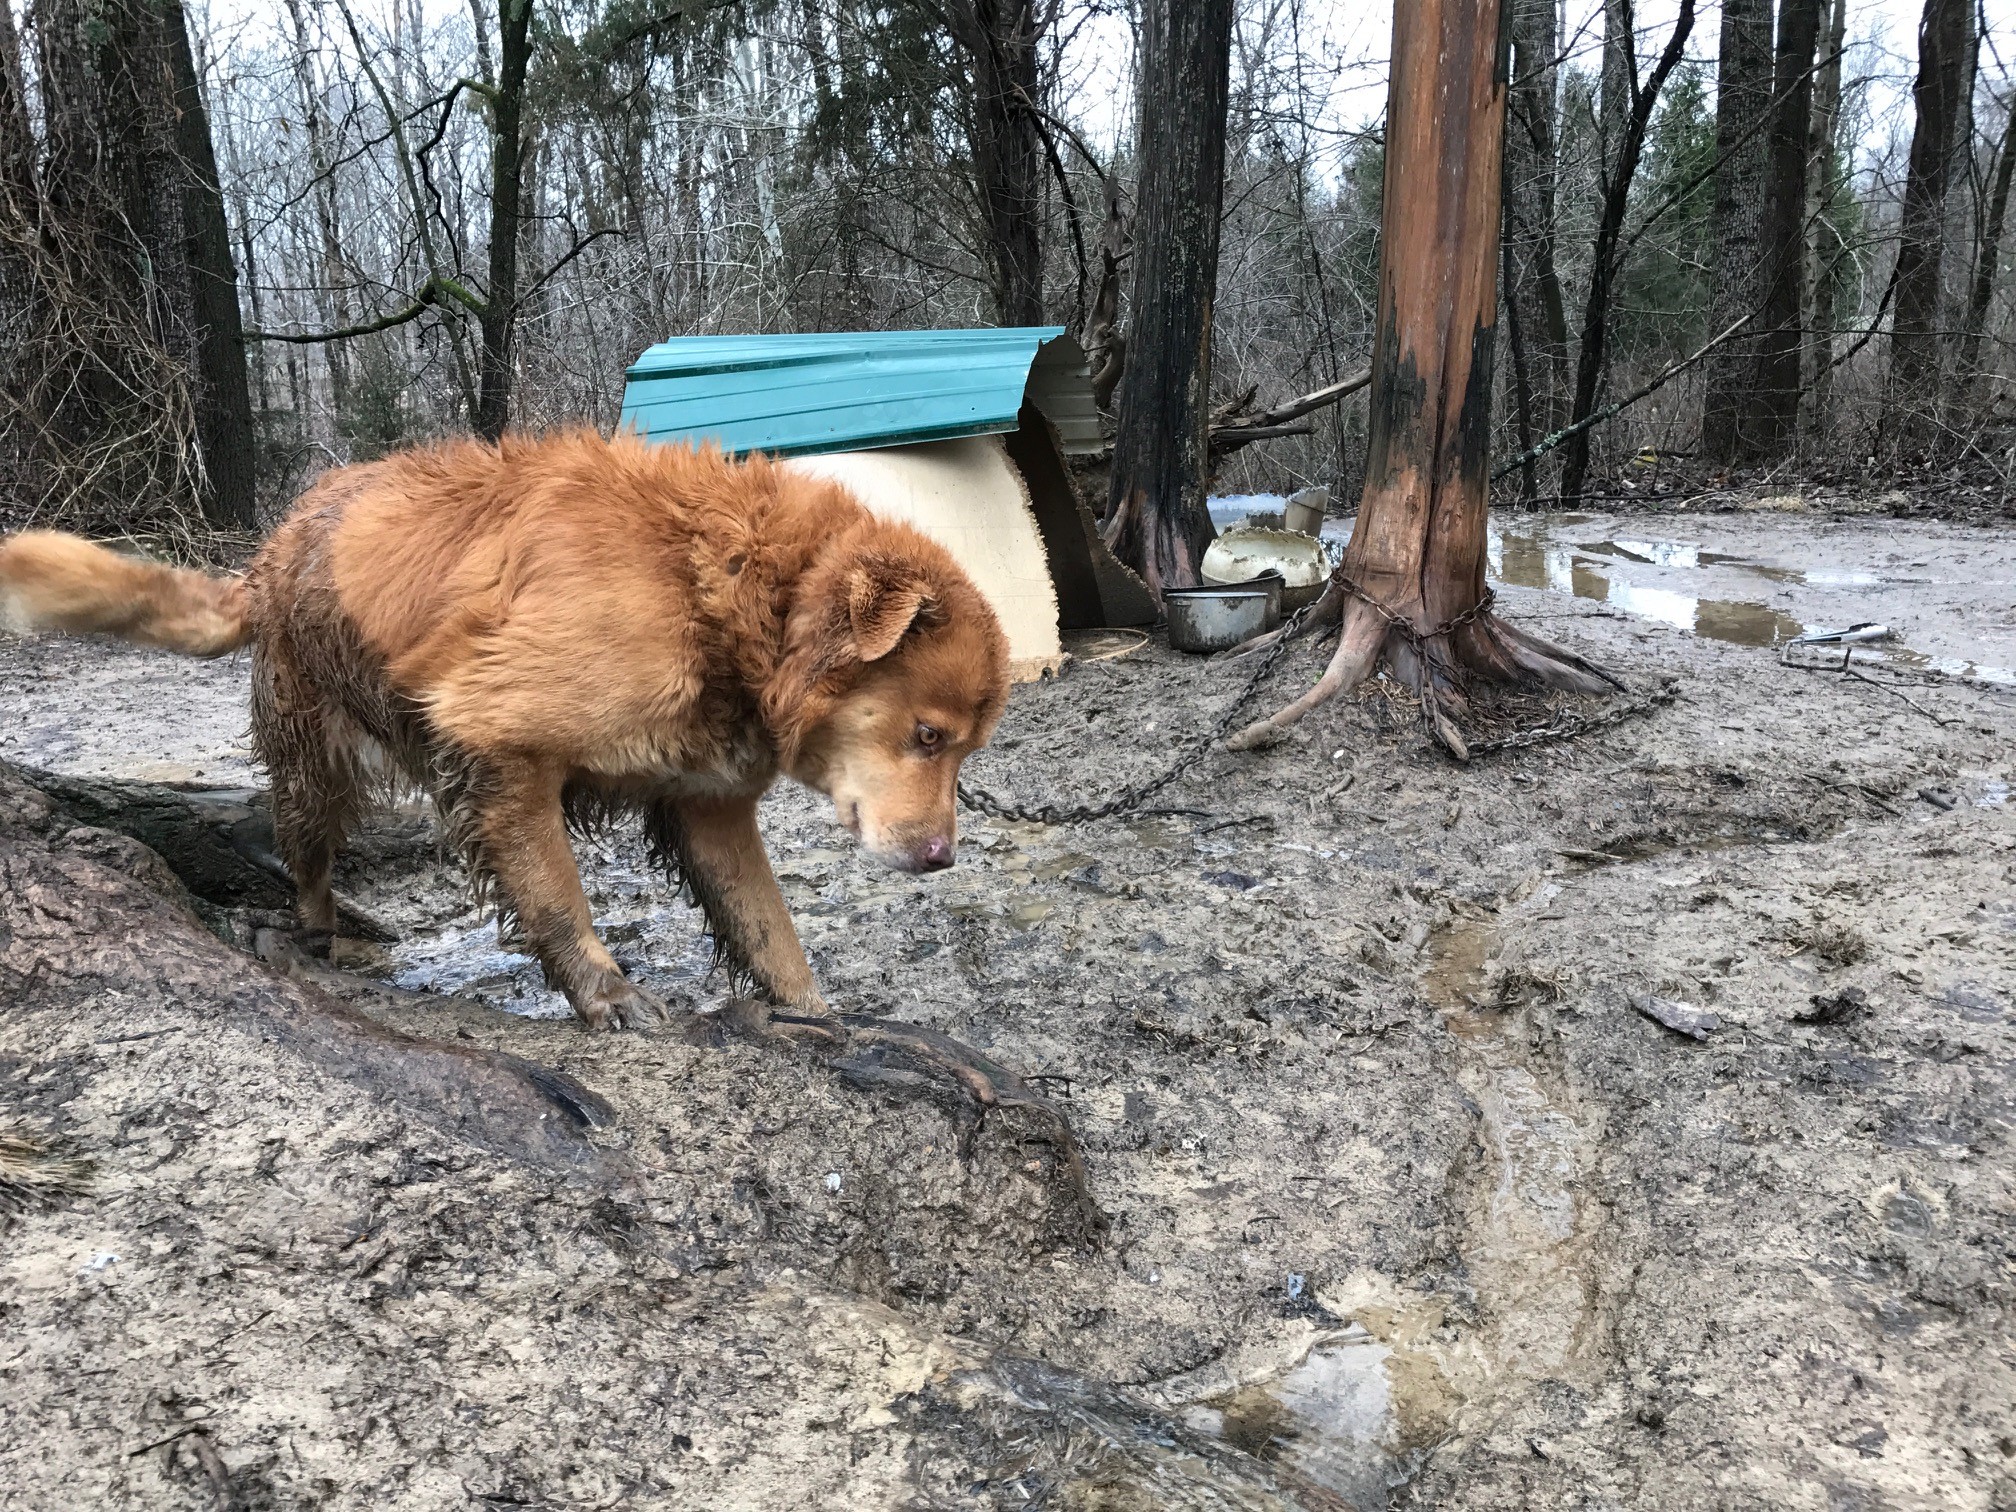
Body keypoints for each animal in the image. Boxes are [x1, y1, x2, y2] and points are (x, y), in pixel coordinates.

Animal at [0, 435, 1008, 1032]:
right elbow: (557, 898)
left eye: (965, 749)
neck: (718, 594)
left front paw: (812, 1010)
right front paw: (607, 993)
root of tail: (272, 551)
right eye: (928, 736)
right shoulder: (499, 750)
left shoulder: (709, 804)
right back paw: (326, 938)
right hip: (314, 762)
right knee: (305, 860)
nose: (942, 859)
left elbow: (767, 924)